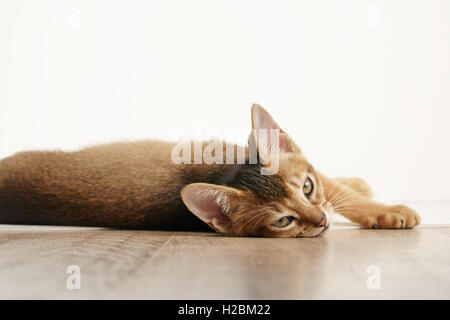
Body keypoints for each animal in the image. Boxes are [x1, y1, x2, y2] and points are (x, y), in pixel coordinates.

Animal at [0, 105, 418, 238]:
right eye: (283, 221)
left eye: (307, 188)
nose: (320, 222)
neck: (222, 171)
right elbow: (343, 195)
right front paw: (388, 211)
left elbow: (334, 188)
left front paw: (358, 190)